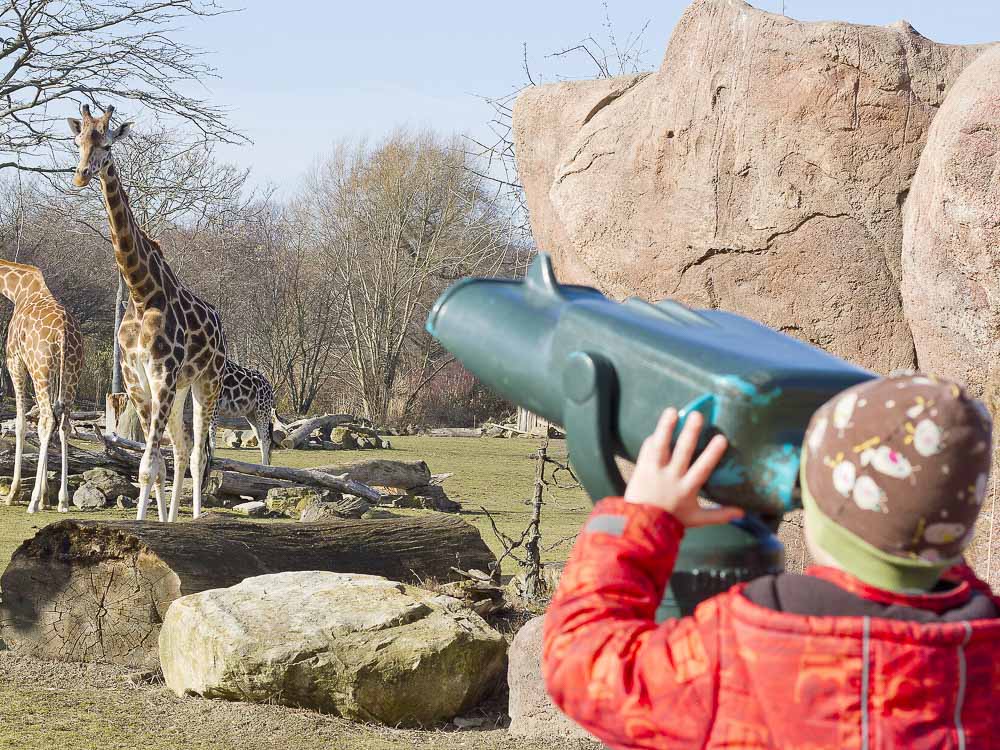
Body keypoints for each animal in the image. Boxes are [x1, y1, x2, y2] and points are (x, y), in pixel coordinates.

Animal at [0, 262, 84, 516]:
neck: (17, 290)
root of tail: (64, 333)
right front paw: (48, 496)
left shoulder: (14, 360)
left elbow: (20, 423)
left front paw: (15, 494)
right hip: (71, 373)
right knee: (63, 424)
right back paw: (63, 501)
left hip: (41, 369)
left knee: (47, 420)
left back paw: (33, 501)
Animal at [69, 107, 227, 524]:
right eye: (78, 140)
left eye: (107, 144)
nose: (81, 175)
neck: (141, 293)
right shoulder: (135, 377)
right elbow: (153, 464)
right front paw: (151, 525)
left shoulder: (162, 373)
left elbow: (147, 464)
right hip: (181, 387)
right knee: (180, 448)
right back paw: (171, 519)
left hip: (207, 382)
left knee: (198, 454)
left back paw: (196, 519)